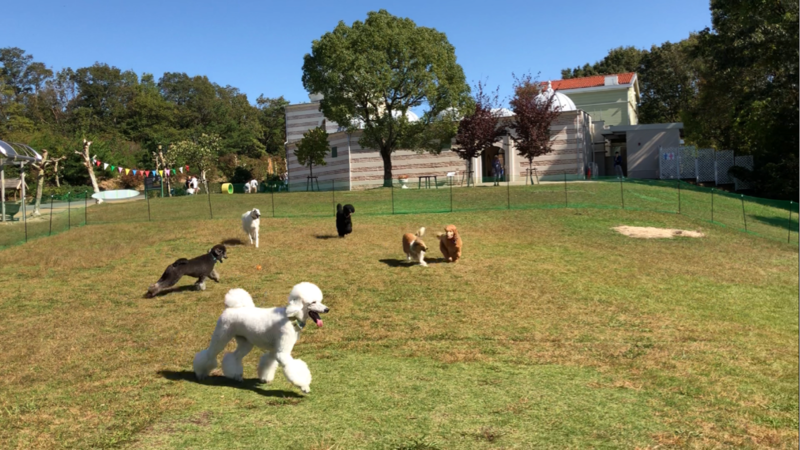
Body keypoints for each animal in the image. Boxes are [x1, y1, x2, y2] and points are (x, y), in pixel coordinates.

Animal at [193, 283, 330, 394]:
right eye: (313, 302)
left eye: (319, 300)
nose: (327, 309)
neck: (290, 317)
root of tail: (231, 308)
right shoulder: (282, 352)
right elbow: (292, 368)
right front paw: (304, 386)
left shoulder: (275, 350)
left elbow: (268, 362)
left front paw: (265, 378)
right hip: (221, 336)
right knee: (210, 354)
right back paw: (201, 374)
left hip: (245, 343)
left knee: (234, 356)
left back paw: (235, 375)